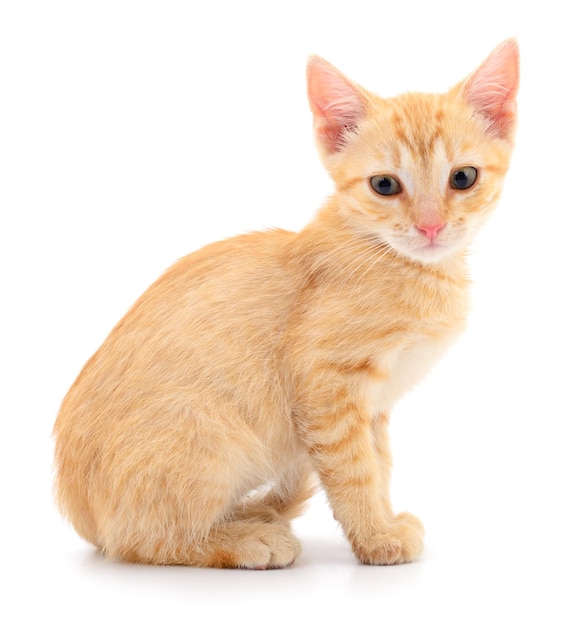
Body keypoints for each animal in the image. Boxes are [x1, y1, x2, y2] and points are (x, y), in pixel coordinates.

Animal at [52, 39, 520, 564]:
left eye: (463, 178)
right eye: (384, 185)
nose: (431, 226)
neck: (396, 260)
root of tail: (78, 510)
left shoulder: (373, 406)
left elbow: (378, 463)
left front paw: (382, 522)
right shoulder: (325, 387)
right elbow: (355, 470)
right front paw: (376, 537)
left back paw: (253, 517)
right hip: (204, 434)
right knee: (140, 538)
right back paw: (243, 539)